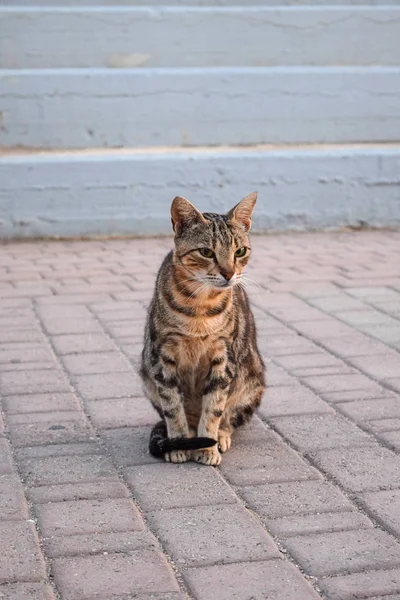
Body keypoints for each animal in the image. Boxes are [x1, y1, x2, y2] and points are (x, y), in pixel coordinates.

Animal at [141, 192, 266, 464]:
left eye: (240, 251)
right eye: (206, 252)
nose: (229, 273)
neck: (199, 308)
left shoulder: (223, 358)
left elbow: (213, 409)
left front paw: (208, 448)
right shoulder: (162, 358)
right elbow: (172, 408)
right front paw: (178, 444)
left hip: (252, 382)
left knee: (230, 418)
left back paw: (220, 437)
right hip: (147, 377)